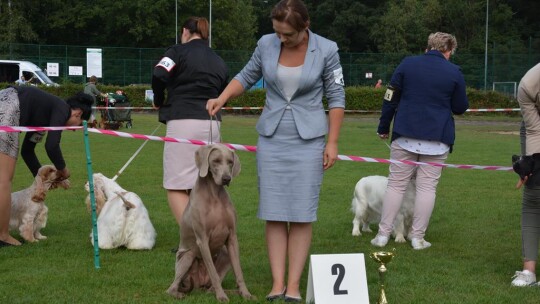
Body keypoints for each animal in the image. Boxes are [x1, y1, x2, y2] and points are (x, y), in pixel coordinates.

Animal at [167, 144, 253, 300]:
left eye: (230, 162)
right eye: (216, 161)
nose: (226, 179)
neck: (214, 195)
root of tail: (199, 285)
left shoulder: (232, 237)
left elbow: (239, 271)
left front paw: (245, 293)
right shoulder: (202, 239)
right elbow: (213, 272)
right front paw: (221, 297)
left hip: (225, 254)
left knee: (210, 288)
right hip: (187, 255)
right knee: (171, 288)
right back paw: (179, 294)